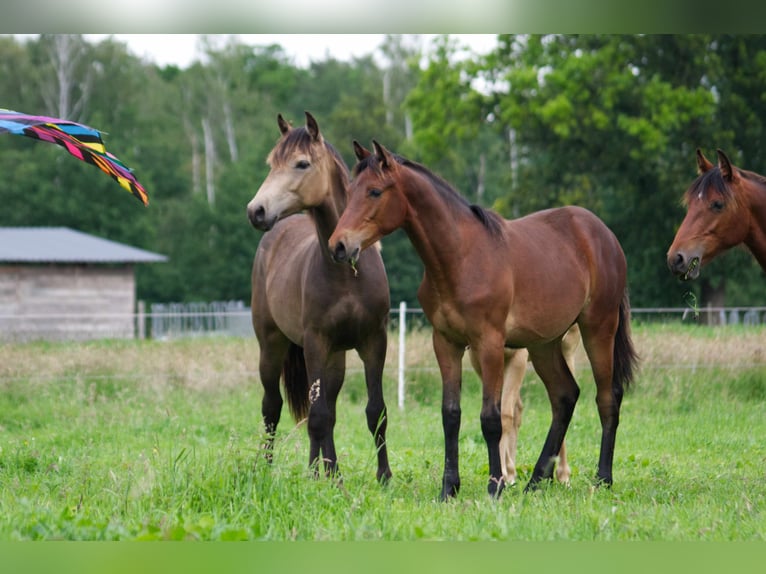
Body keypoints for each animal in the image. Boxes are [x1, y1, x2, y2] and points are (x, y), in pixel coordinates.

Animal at [246, 112, 392, 482]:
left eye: (301, 163)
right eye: (272, 163)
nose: (256, 211)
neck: (347, 271)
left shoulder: (374, 341)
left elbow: (375, 412)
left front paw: (383, 476)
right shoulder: (315, 343)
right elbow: (318, 415)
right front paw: (332, 477)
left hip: (335, 358)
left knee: (327, 409)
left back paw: (318, 468)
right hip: (272, 346)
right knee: (273, 408)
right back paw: (272, 469)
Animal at [328, 142, 640, 502]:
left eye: (375, 191)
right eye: (351, 190)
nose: (338, 245)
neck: (461, 258)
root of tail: (604, 235)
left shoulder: (489, 344)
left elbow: (491, 418)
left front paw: (496, 486)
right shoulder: (446, 343)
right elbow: (450, 415)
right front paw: (449, 488)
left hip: (598, 328)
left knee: (607, 397)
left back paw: (602, 478)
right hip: (544, 344)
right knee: (565, 396)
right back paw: (536, 480)